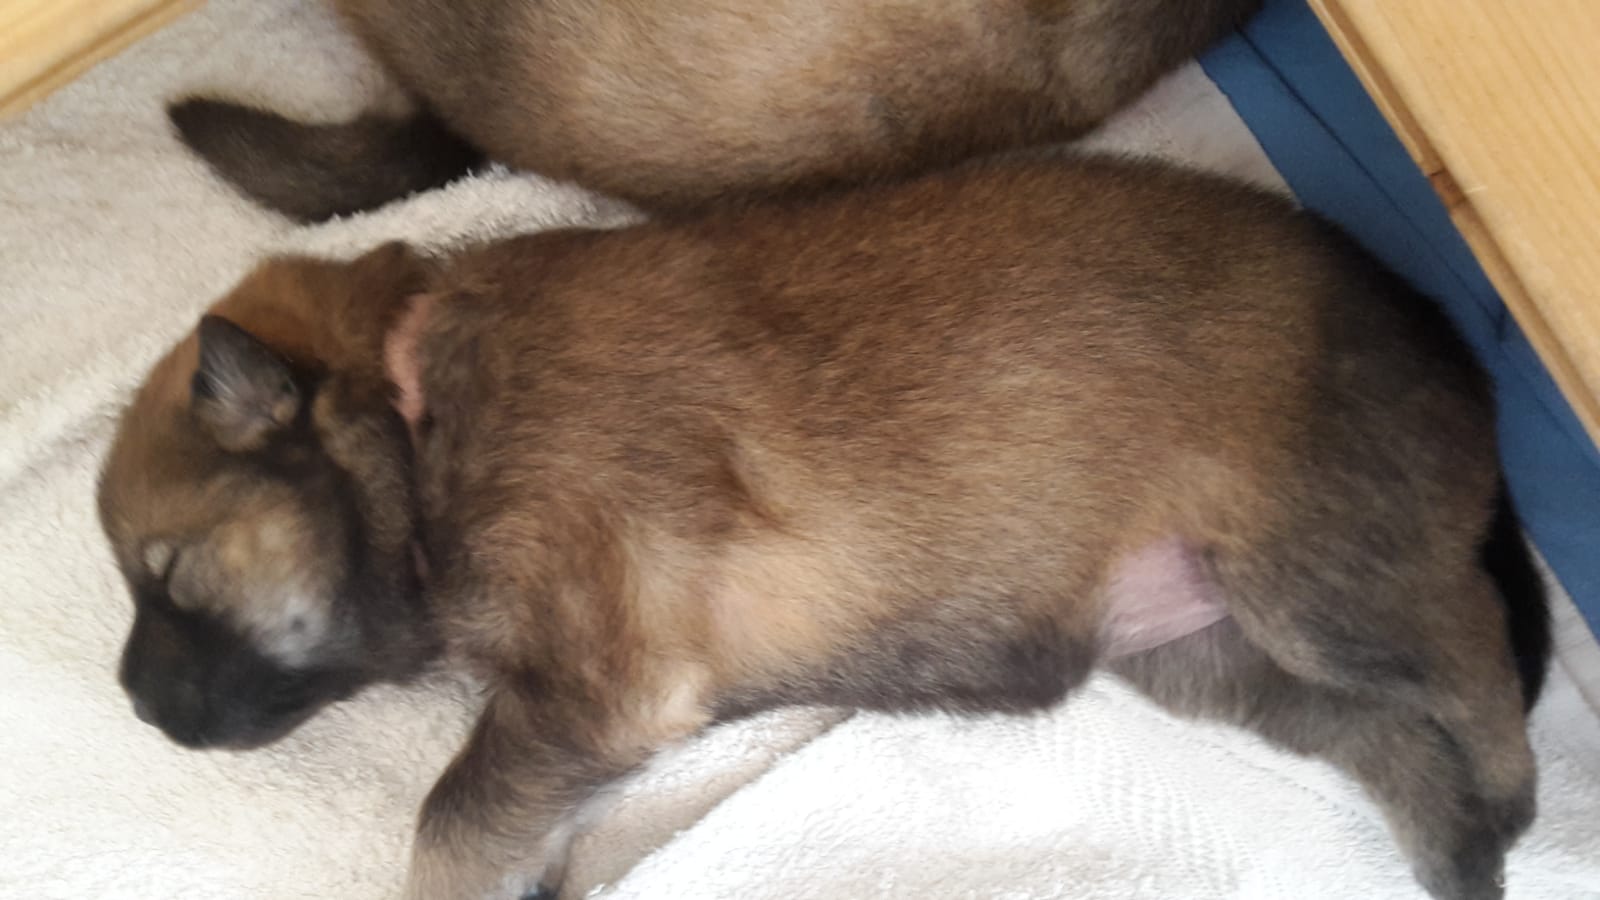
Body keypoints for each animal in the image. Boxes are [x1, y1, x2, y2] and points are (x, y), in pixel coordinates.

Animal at [99, 155, 1549, 900]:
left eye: (168, 573)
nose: (136, 712)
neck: (418, 410)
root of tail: (1434, 323)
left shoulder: (594, 687)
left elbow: (449, 828)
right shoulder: (571, 726)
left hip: (1309, 579)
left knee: (1468, 646)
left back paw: (1515, 793)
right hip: (1214, 653)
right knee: (1389, 737)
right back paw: (1462, 861)